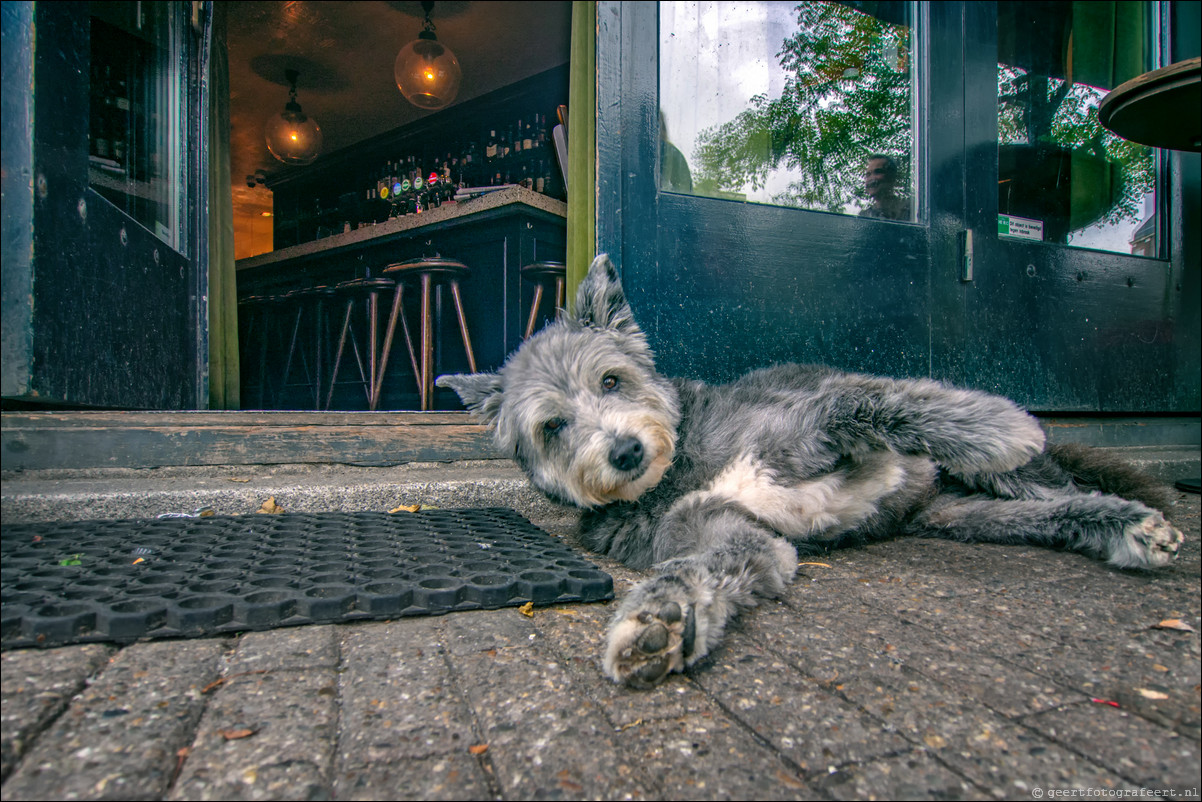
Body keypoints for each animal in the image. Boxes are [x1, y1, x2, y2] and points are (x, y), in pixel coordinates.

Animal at [435, 257, 1182, 692]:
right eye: (552, 427)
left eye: (611, 380)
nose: (623, 454)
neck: (684, 463)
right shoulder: (730, 533)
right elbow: (701, 567)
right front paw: (660, 620)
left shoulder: (818, 420)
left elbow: (883, 401)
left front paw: (1000, 424)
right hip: (964, 517)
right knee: (1051, 516)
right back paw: (1123, 532)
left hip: (999, 482)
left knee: (1057, 487)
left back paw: (1122, 511)